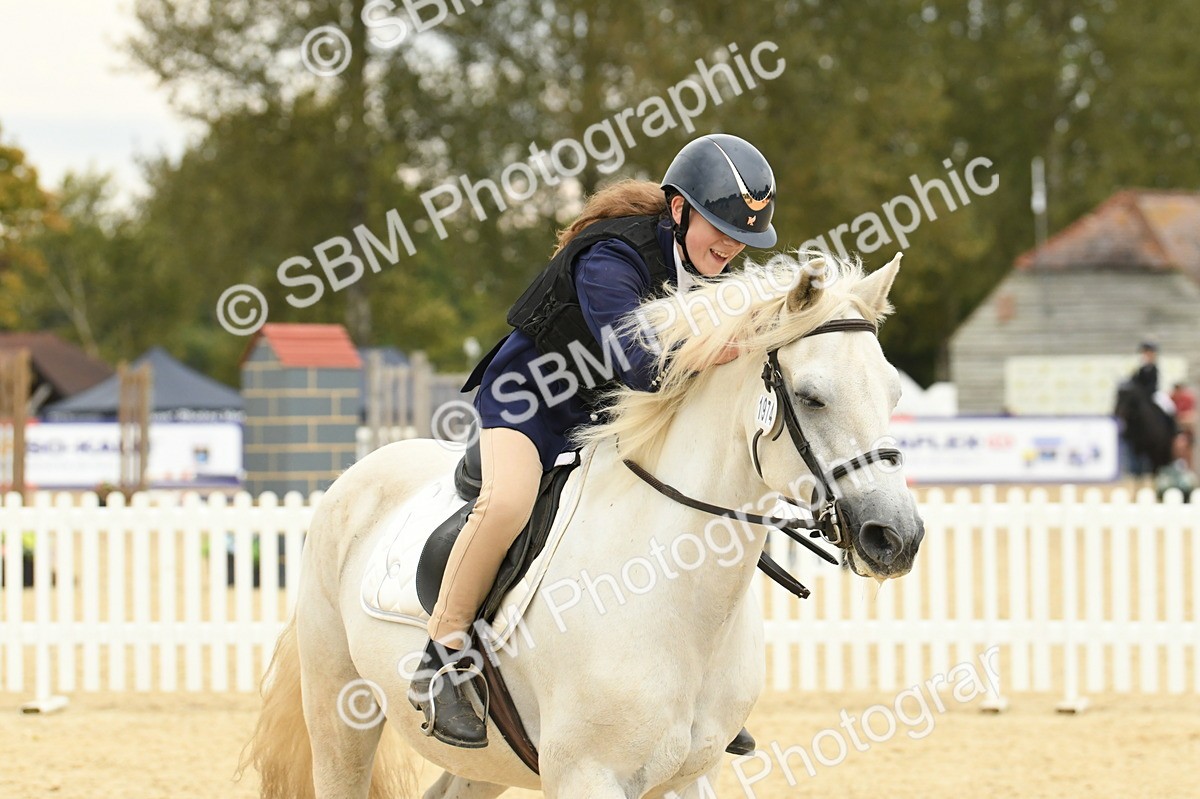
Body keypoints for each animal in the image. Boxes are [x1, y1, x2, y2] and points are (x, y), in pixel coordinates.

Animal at [241, 251, 925, 799]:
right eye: (811, 397)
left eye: (894, 394)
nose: (896, 538)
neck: (671, 591)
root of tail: (356, 476)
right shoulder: (587, 776)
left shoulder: (691, 776)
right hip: (339, 715)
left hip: (484, 766)